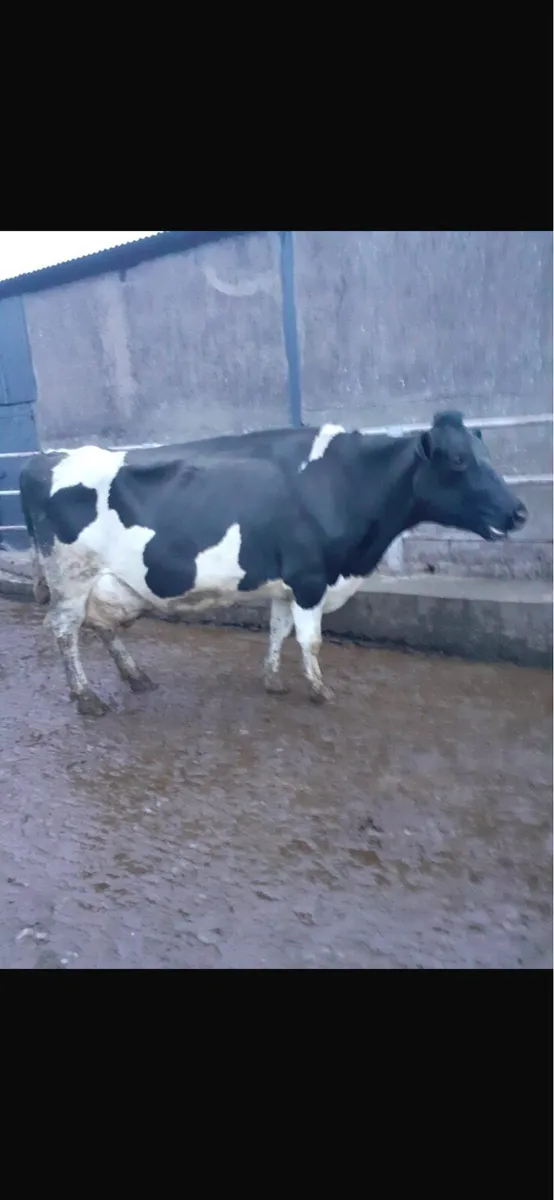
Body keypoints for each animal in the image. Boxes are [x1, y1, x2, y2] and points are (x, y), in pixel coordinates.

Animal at [19, 411, 527, 717]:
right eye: (458, 460)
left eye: (486, 456)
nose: (519, 512)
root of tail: (44, 461)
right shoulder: (309, 578)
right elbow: (312, 639)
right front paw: (320, 691)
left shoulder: (288, 584)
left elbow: (278, 631)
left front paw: (273, 681)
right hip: (71, 576)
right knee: (64, 629)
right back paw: (86, 698)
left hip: (106, 582)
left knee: (100, 624)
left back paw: (136, 678)